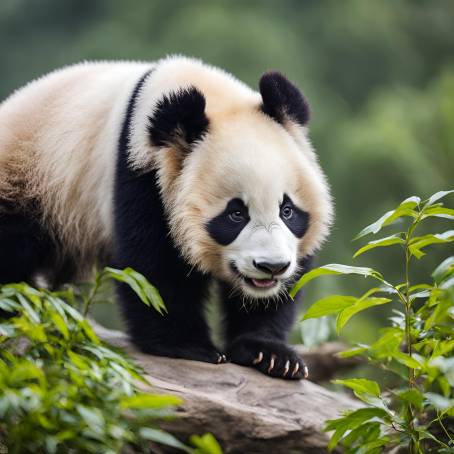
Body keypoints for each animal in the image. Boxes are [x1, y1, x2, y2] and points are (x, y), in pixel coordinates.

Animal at [0, 54, 334, 380]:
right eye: (236, 214)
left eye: (287, 210)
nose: (271, 267)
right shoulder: (143, 174)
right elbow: (152, 267)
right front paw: (187, 346)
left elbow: (278, 295)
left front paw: (271, 354)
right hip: (29, 177)